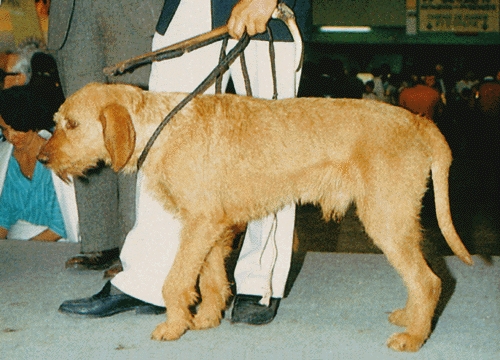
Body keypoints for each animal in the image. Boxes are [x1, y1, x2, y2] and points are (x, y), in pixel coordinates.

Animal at [39, 82, 472, 352]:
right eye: (57, 122)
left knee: (429, 281)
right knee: (423, 279)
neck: (162, 127)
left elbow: (175, 281)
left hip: (386, 220)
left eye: (72, 124)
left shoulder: (199, 225)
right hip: (399, 222)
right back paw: (410, 319)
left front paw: (173, 327)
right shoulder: (213, 226)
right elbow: (211, 279)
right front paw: (205, 319)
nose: (42, 158)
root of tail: (418, 121)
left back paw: (414, 338)